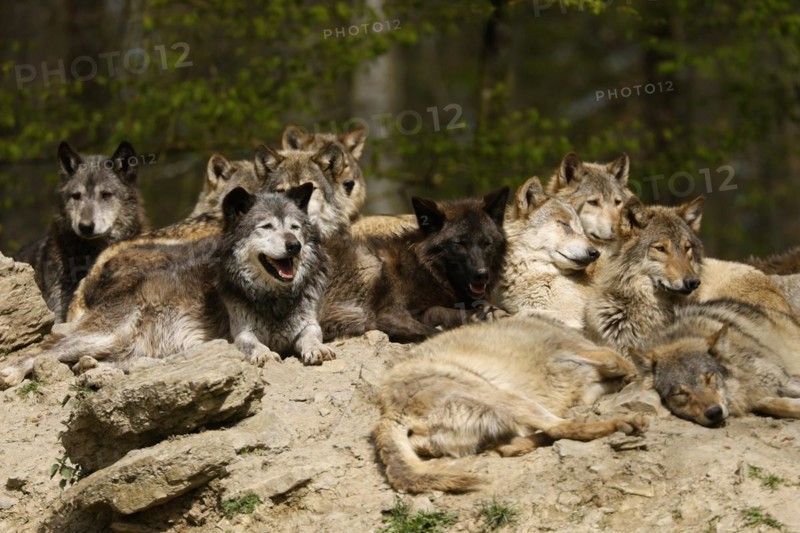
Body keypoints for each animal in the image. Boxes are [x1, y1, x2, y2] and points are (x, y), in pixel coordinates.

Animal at [0, 184, 332, 389]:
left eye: (295, 227)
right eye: (266, 227)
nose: (294, 245)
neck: (275, 299)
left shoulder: (309, 324)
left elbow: (311, 337)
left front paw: (317, 350)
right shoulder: (241, 334)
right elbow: (255, 345)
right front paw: (264, 355)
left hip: (125, 350)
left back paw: (89, 367)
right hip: (104, 336)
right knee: (43, 351)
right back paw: (13, 372)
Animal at [321, 187, 510, 342]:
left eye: (487, 243)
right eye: (460, 243)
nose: (482, 274)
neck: (425, 269)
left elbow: (439, 311)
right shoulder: (389, 315)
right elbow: (435, 331)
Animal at [374, 315, 648, 493]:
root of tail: (390, 413)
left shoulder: (588, 388)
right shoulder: (580, 353)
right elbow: (618, 362)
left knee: (518, 442)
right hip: (504, 397)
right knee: (561, 428)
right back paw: (624, 423)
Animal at [630, 299, 800, 426]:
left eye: (709, 378)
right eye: (680, 393)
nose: (714, 413)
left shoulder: (783, 381)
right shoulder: (755, 397)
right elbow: (771, 404)